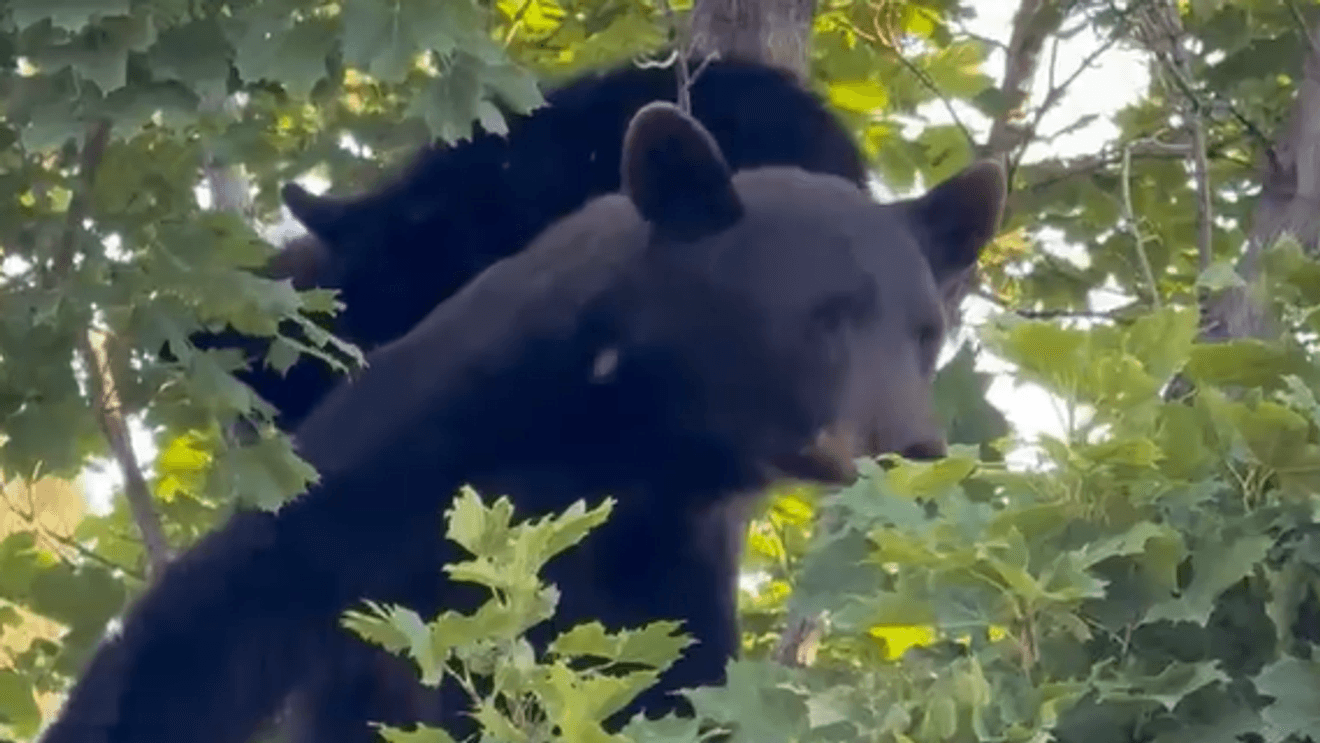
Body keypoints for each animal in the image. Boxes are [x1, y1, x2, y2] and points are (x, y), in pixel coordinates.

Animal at [41, 102, 1005, 743]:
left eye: (928, 332)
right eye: (824, 316)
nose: (913, 444)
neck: (631, 429)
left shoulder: (667, 552)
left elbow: (673, 680)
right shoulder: (419, 450)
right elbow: (218, 617)